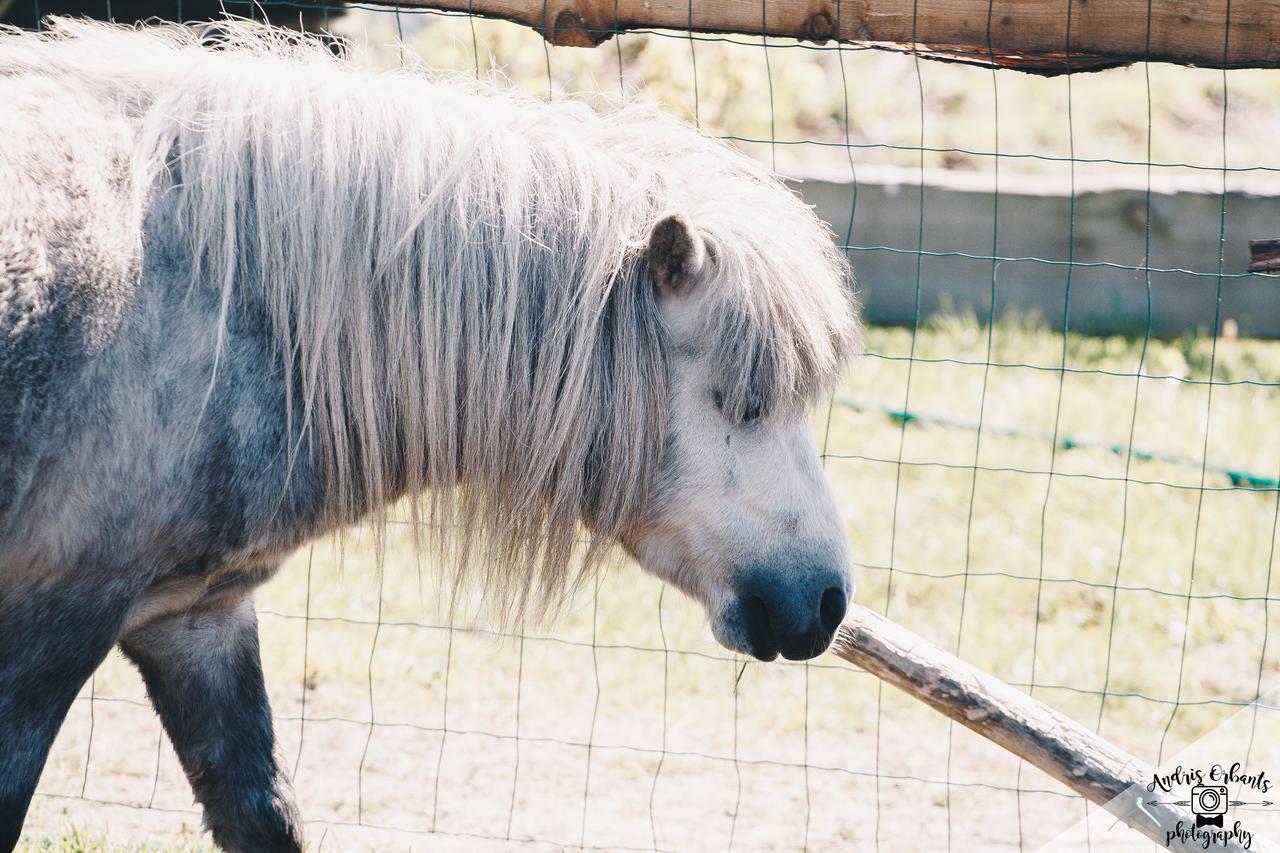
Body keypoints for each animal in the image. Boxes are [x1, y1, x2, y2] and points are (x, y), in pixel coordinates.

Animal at [2, 21, 860, 850]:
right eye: (748, 400)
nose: (827, 600)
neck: (228, 313)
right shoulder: (50, 625)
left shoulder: (195, 617)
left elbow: (263, 815)